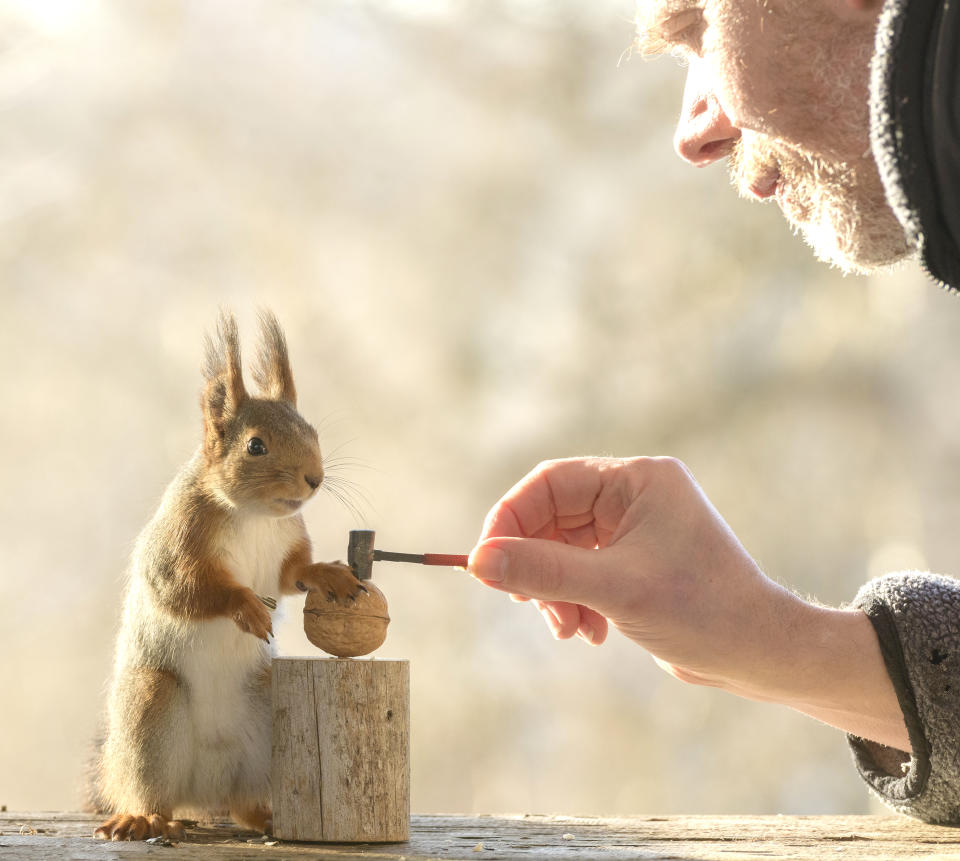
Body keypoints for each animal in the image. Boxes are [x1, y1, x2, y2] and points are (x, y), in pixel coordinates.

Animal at [90, 310, 362, 840]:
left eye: (312, 432)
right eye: (255, 445)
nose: (315, 479)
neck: (255, 515)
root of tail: (203, 791)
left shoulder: (284, 548)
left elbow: (293, 574)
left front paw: (329, 574)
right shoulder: (179, 541)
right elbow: (185, 590)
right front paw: (246, 607)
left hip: (267, 718)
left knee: (242, 804)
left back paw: (264, 815)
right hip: (150, 709)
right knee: (150, 790)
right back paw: (142, 817)